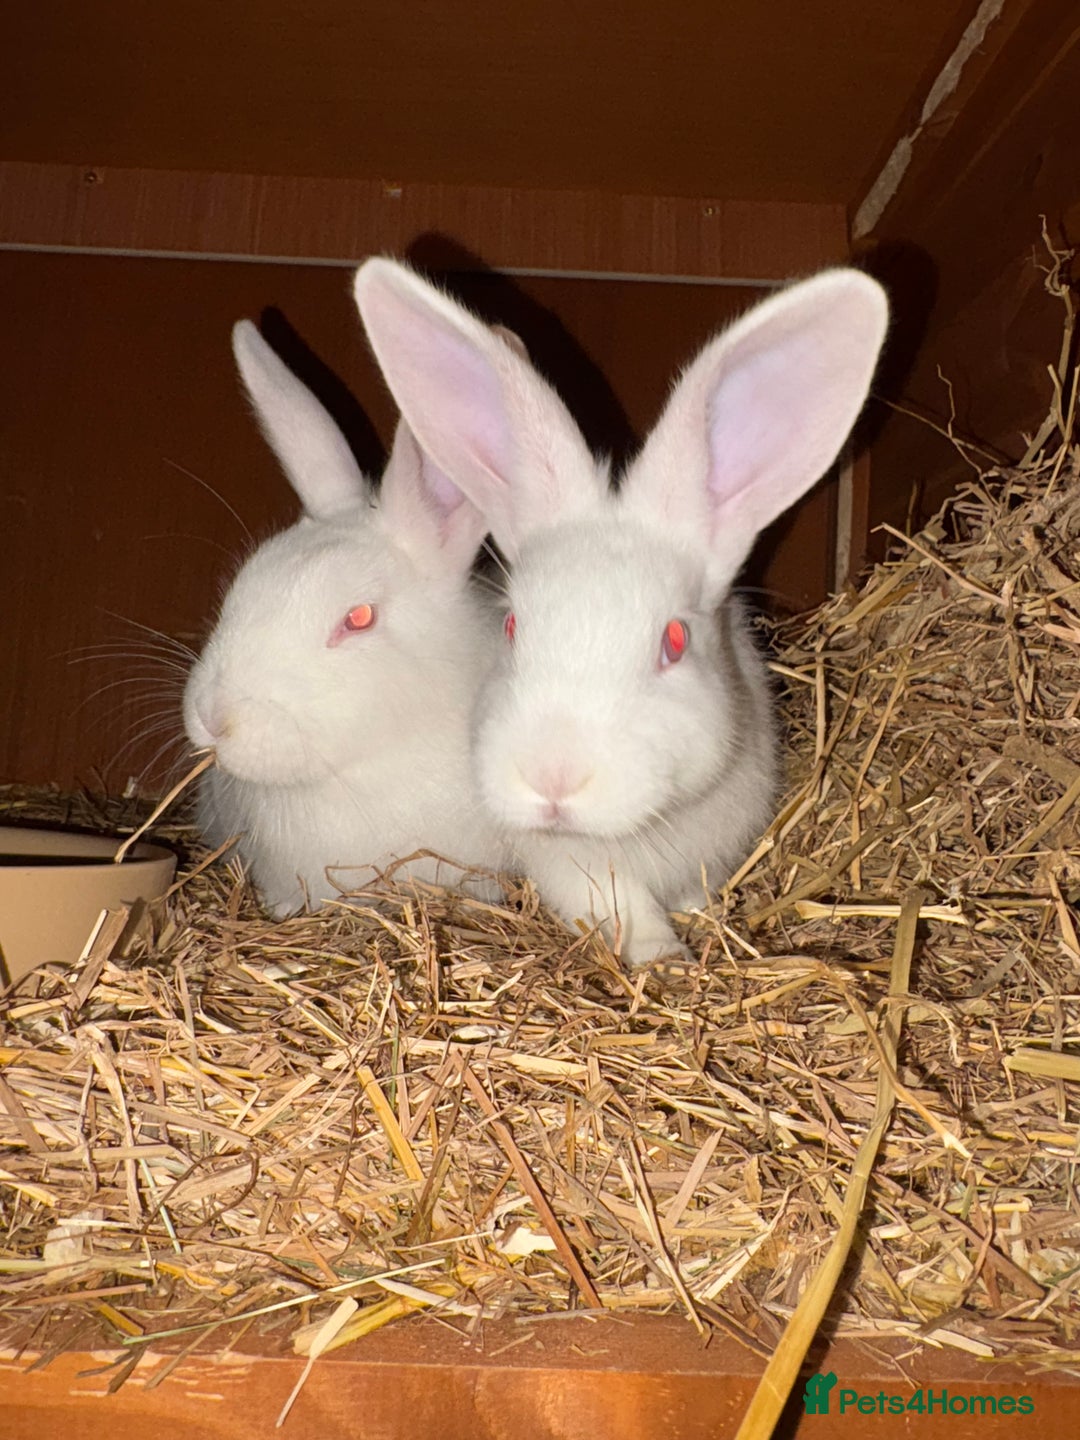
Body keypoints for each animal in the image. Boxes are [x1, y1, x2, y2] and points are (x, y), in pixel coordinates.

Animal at [354, 258, 888, 971]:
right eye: (512, 628)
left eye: (675, 640)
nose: (552, 778)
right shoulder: (574, 868)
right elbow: (623, 908)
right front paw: (664, 959)